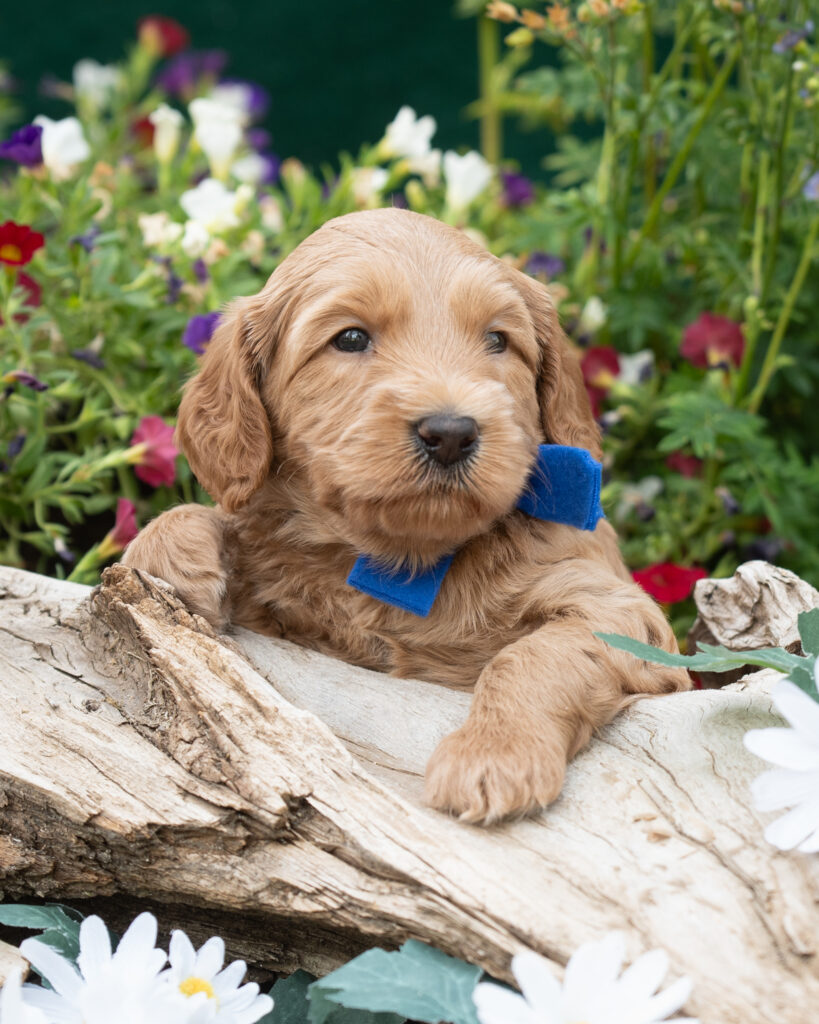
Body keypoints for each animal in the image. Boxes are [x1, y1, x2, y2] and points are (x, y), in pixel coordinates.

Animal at [124, 207, 687, 823]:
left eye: (498, 340)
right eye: (350, 338)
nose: (452, 433)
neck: (405, 560)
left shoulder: (620, 614)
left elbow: (533, 655)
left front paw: (493, 754)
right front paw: (172, 554)